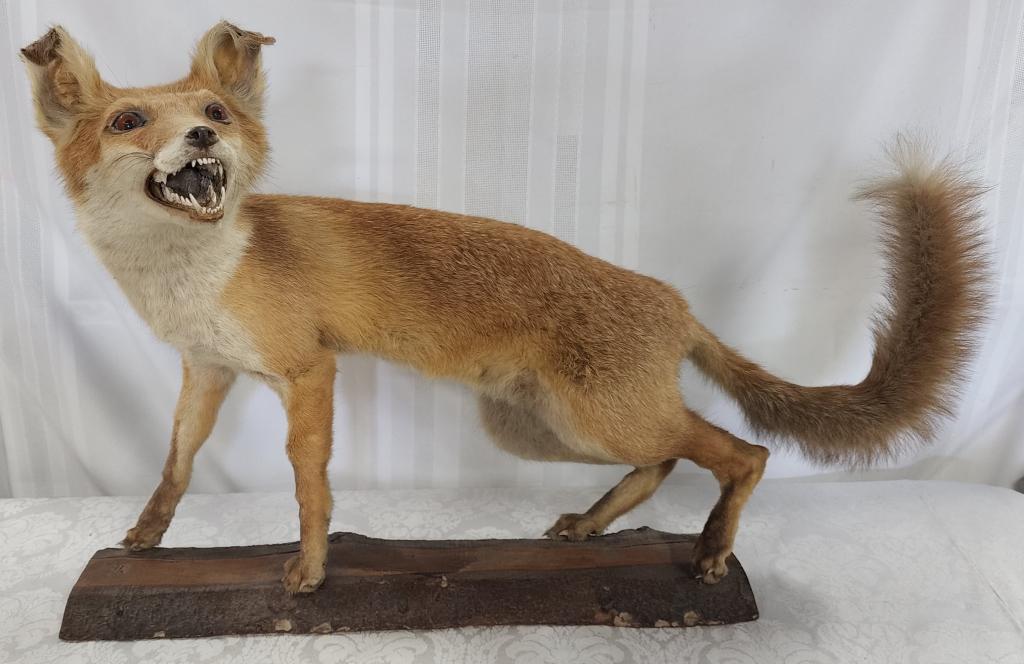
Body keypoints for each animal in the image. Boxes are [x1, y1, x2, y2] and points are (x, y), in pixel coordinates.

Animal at [21, 21, 988, 595]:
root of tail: (673, 301)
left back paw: (711, 551)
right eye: (128, 121)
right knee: (669, 462)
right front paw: (143, 541)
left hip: (601, 417)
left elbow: (309, 483)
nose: (202, 137)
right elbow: (175, 465)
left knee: (739, 452)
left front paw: (310, 568)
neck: (193, 272)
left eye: (216, 110)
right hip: (540, 429)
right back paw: (590, 526)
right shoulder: (208, 369)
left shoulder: (307, 369)